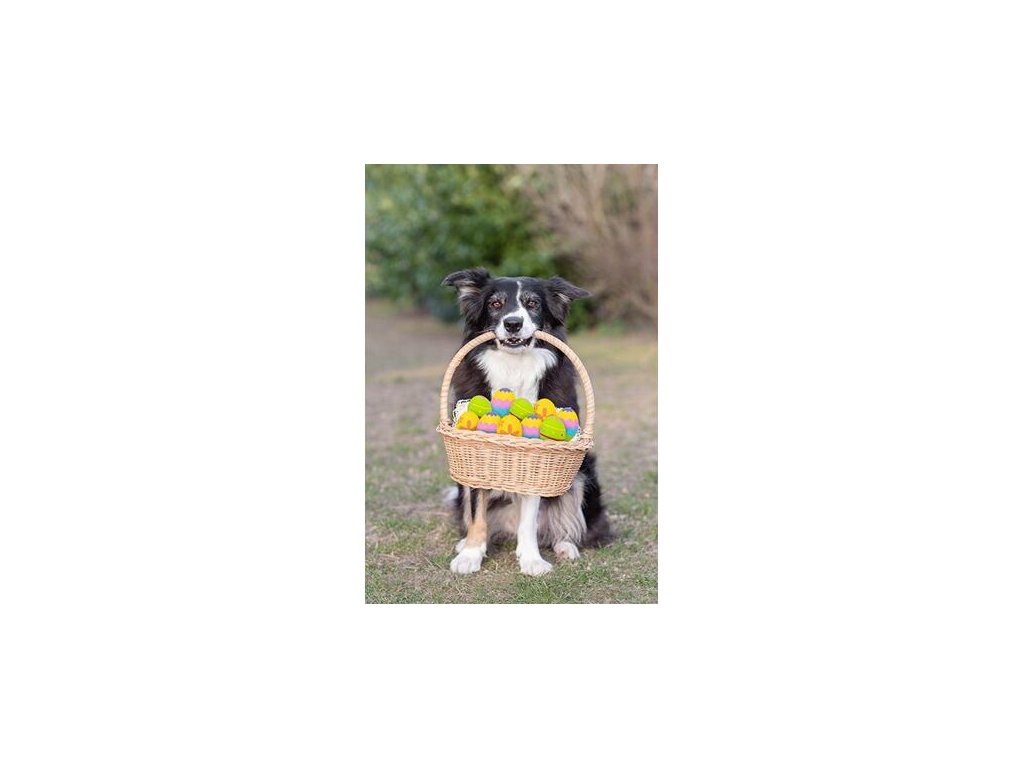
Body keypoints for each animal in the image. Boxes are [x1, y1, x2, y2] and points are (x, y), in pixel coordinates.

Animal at [441, 268, 612, 576]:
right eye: (495, 304)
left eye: (532, 303)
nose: (513, 324)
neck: (514, 364)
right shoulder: (476, 458)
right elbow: (477, 510)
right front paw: (471, 554)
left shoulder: (541, 458)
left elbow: (530, 517)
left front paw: (531, 559)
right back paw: (466, 543)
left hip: (583, 474)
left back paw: (565, 545)